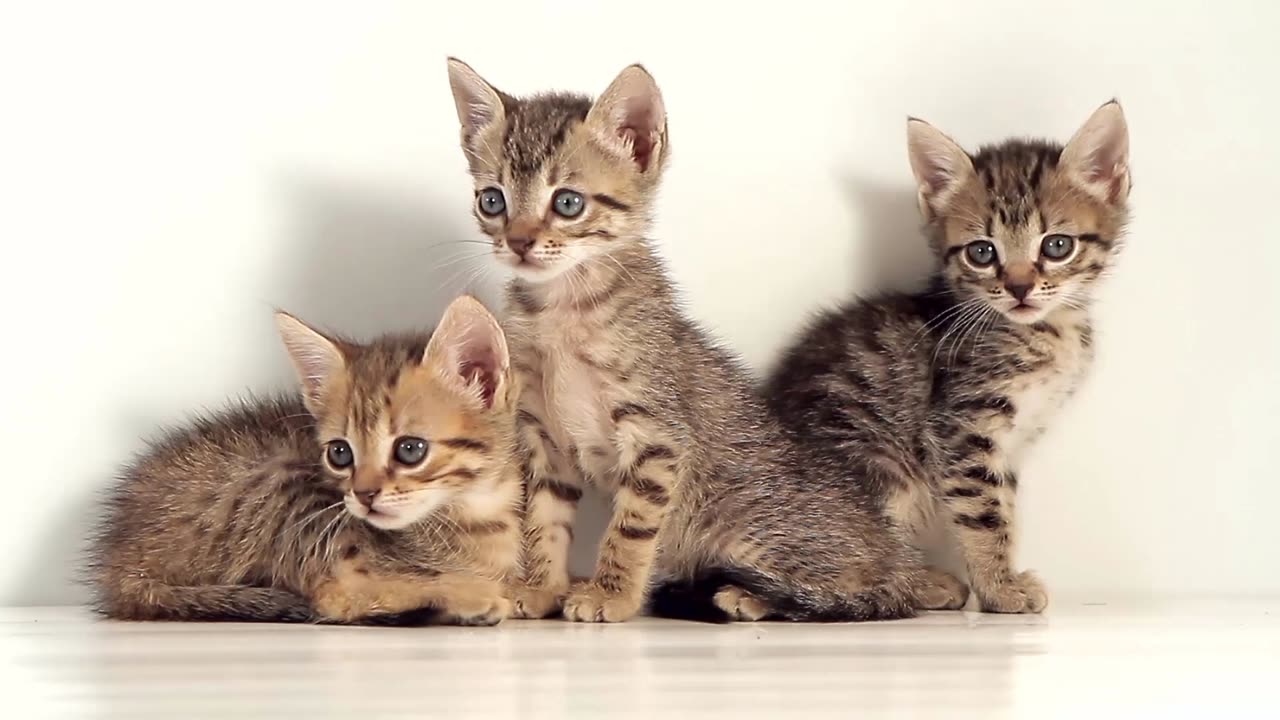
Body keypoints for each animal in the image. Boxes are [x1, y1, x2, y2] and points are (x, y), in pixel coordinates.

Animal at [87, 295, 522, 622]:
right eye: (340, 453)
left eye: (410, 449)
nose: (363, 495)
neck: (476, 511)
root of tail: (121, 561)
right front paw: (470, 594)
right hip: (281, 477)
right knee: (331, 597)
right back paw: (469, 599)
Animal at [445, 58, 926, 622]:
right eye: (492, 200)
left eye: (567, 202)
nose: (518, 242)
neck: (561, 310)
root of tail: (897, 554)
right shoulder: (544, 439)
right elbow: (544, 518)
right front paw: (541, 587)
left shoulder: (657, 437)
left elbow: (630, 529)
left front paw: (611, 595)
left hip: (750, 527)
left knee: (859, 592)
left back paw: (751, 597)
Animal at [757, 102, 1131, 609]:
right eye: (982, 252)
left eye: (1057, 245)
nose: (1019, 288)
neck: (1046, 331)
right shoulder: (962, 427)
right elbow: (984, 513)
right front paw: (1000, 589)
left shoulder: (1008, 443)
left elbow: (1004, 507)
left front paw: (998, 581)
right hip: (879, 468)